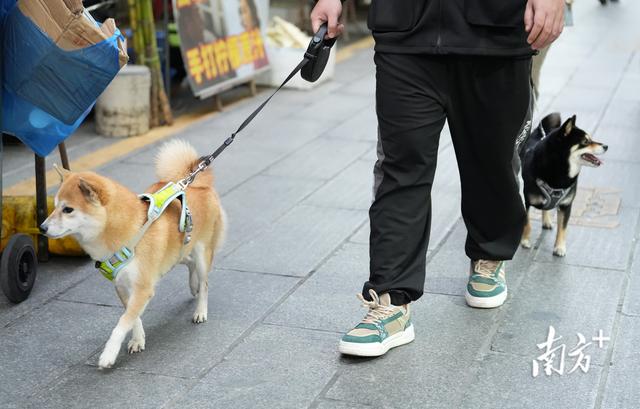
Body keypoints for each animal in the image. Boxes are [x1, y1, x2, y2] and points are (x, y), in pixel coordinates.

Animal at [40, 139, 225, 368]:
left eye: (68, 210)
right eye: (55, 206)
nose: (42, 228)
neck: (127, 233)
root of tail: (197, 183)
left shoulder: (143, 287)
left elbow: (122, 322)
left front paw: (109, 354)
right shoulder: (122, 285)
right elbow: (132, 316)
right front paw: (138, 339)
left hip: (202, 252)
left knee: (205, 282)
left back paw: (200, 310)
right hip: (176, 254)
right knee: (189, 265)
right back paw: (193, 286)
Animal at [520, 112, 604, 255]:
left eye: (590, 139)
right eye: (586, 142)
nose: (606, 146)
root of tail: (538, 133)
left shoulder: (566, 206)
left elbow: (562, 228)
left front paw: (559, 247)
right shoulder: (527, 202)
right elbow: (527, 222)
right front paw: (525, 240)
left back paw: (547, 221)